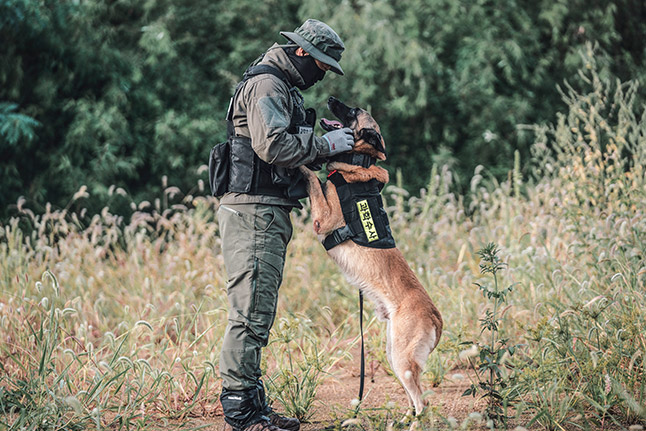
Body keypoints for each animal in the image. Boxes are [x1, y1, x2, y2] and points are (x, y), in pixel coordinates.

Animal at [300, 97, 442, 416]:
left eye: (353, 111)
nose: (330, 98)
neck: (358, 162)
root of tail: (435, 315)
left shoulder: (323, 220)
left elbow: (312, 177)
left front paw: (301, 163)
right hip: (393, 354)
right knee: (414, 399)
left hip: (401, 361)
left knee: (422, 402)